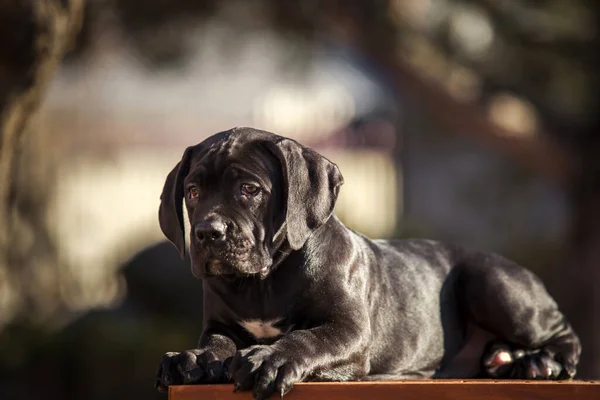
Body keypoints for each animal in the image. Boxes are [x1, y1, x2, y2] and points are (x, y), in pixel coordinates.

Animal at [155, 126, 580, 398]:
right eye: (193, 192)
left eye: (249, 189)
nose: (208, 233)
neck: (263, 281)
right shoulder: (220, 324)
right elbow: (217, 342)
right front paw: (193, 358)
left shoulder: (351, 330)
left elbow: (306, 337)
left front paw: (269, 359)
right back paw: (507, 359)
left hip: (490, 281)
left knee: (564, 333)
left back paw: (540, 363)